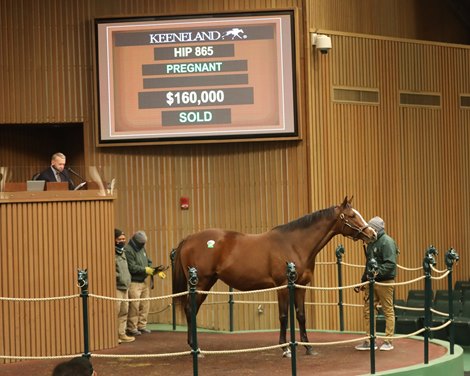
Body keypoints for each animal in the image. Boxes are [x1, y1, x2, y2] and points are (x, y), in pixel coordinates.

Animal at [171, 197, 376, 356]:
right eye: (351, 216)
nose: (372, 234)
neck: (294, 244)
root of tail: (188, 239)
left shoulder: (301, 286)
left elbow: (301, 316)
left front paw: (308, 347)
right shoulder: (283, 286)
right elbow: (284, 316)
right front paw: (286, 349)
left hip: (206, 283)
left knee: (192, 310)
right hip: (201, 283)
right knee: (190, 309)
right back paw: (196, 348)